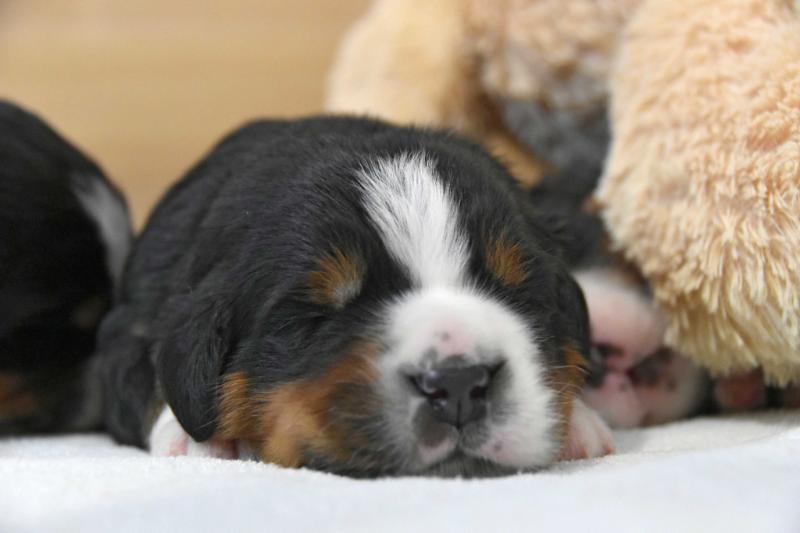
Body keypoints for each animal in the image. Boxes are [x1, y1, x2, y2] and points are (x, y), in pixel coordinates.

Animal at [100, 115, 612, 474]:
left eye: (519, 295)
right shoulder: (128, 329)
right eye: (316, 317)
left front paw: (578, 423)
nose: (458, 382)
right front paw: (194, 438)